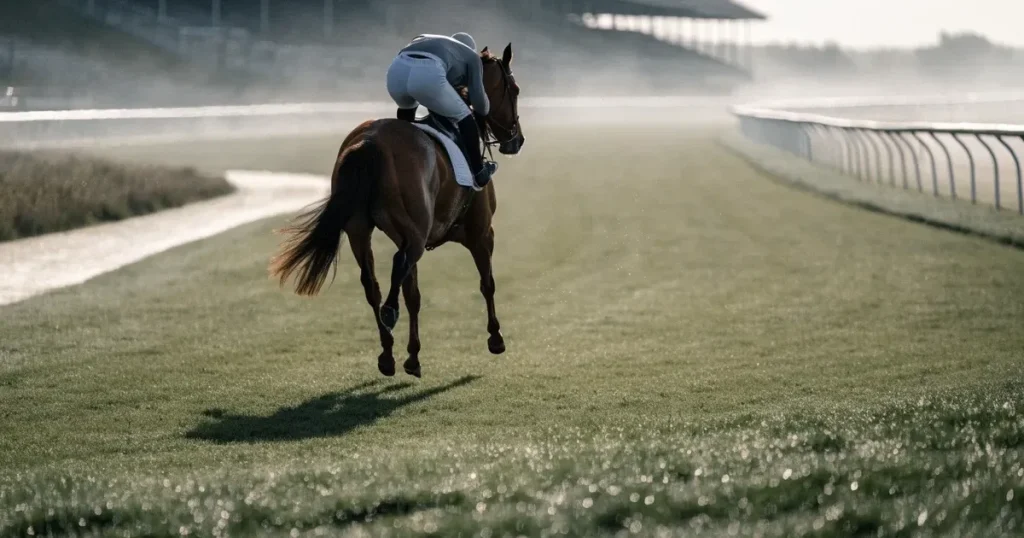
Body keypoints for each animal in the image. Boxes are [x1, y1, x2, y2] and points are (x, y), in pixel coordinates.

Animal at [269, 44, 524, 379]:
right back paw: (390, 316)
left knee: (372, 283)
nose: (517, 140)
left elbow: (413, 295)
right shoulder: (482, 232)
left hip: (359, 230)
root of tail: (368, 143)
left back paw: (387, 352)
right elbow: (487, 283)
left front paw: (413, 356)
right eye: (515, 90)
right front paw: (495, 337)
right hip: (414, 233)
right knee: (398, 263)